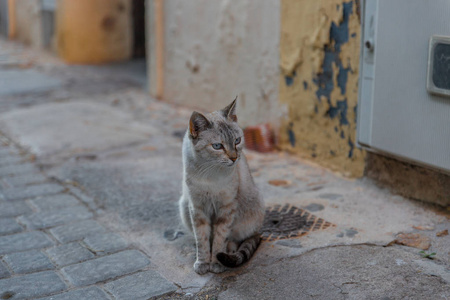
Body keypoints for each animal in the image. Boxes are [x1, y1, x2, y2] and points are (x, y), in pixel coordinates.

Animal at [178, 98, 266, 274]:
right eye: (217, 146)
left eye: (237, 141)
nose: (234, 158)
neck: (209, 173)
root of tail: (258, 231)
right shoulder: (197, 207)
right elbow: (202, 239)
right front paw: (202, 263)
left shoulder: (226, 208)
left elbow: (220, 239)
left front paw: (215, 263)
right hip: (184, 205)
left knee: (236, 240)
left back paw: (228, 252)